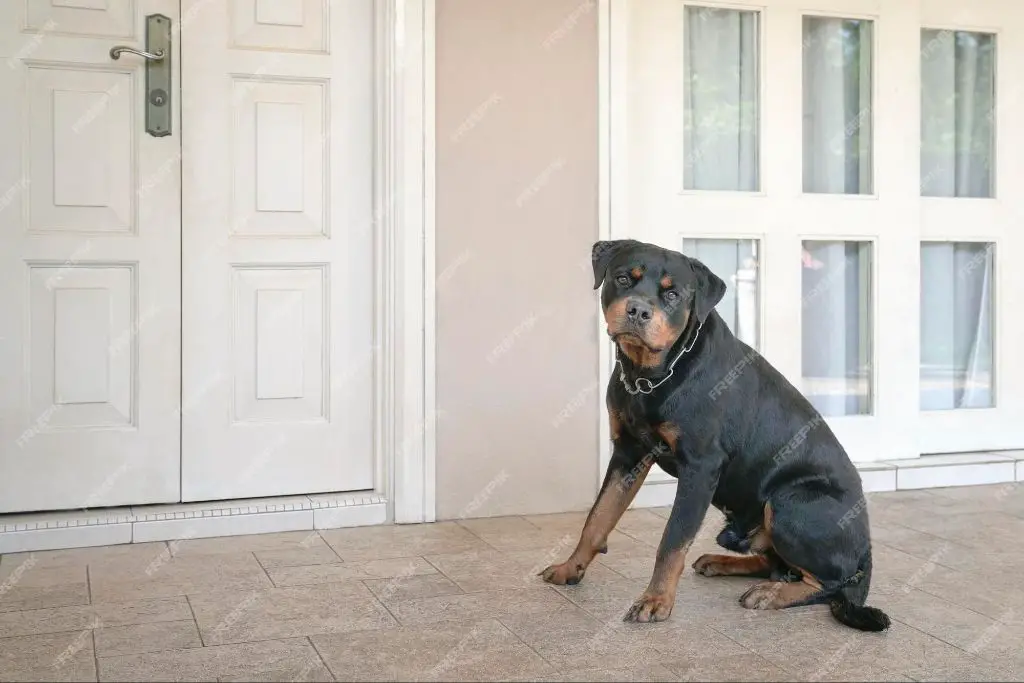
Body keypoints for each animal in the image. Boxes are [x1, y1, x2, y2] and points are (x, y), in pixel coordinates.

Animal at [544, 237, 888, 634]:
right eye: (623, 278)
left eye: (673, 294)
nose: (638, 311)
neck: (652, 374)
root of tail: (867, 548)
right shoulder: (627, 454)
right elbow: (597, 517)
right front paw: (570, 568)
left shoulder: (700, 467)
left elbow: (672, 540)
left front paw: (655, 601)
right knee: (777, 565)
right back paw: (722, 562)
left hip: (790, 502)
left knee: (829, 581)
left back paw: (770, 594)